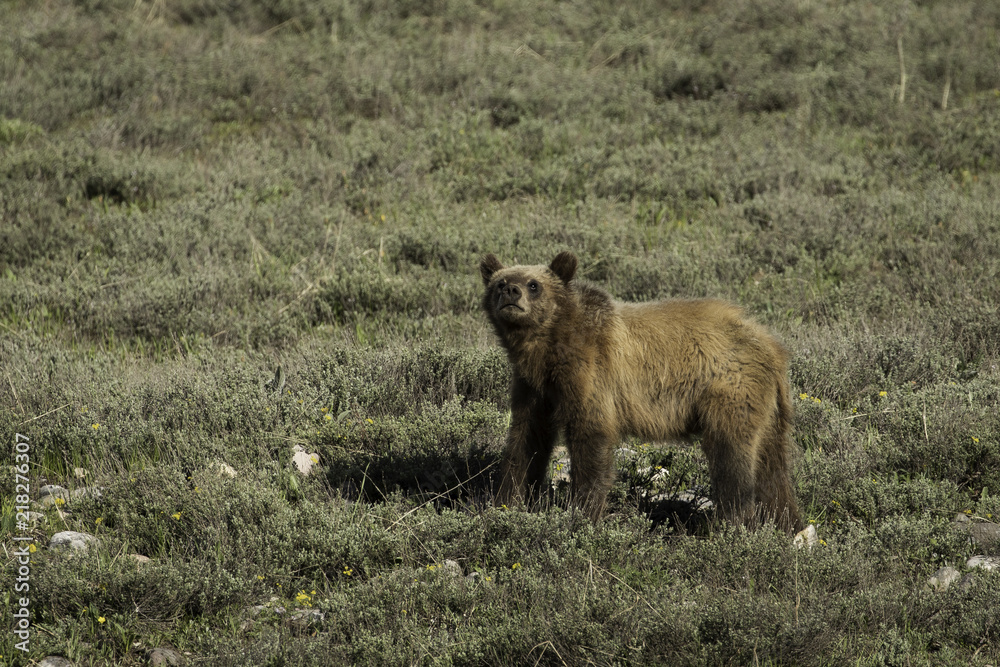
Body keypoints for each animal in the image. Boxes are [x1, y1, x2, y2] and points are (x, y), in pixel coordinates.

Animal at [480, 250, 804, 533]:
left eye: (534, 284)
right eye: (500, 282)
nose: (511, 292)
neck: (548, 349)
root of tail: (773, 346)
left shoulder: (590, 375)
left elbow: (590, 438)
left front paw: (582, 512)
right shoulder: (535, 387)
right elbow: (526, 440)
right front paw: (506, 502)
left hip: (730, 389)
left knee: (732, 458)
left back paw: (729, 526)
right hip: (769, 408)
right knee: (773, 468)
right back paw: (785, 524)